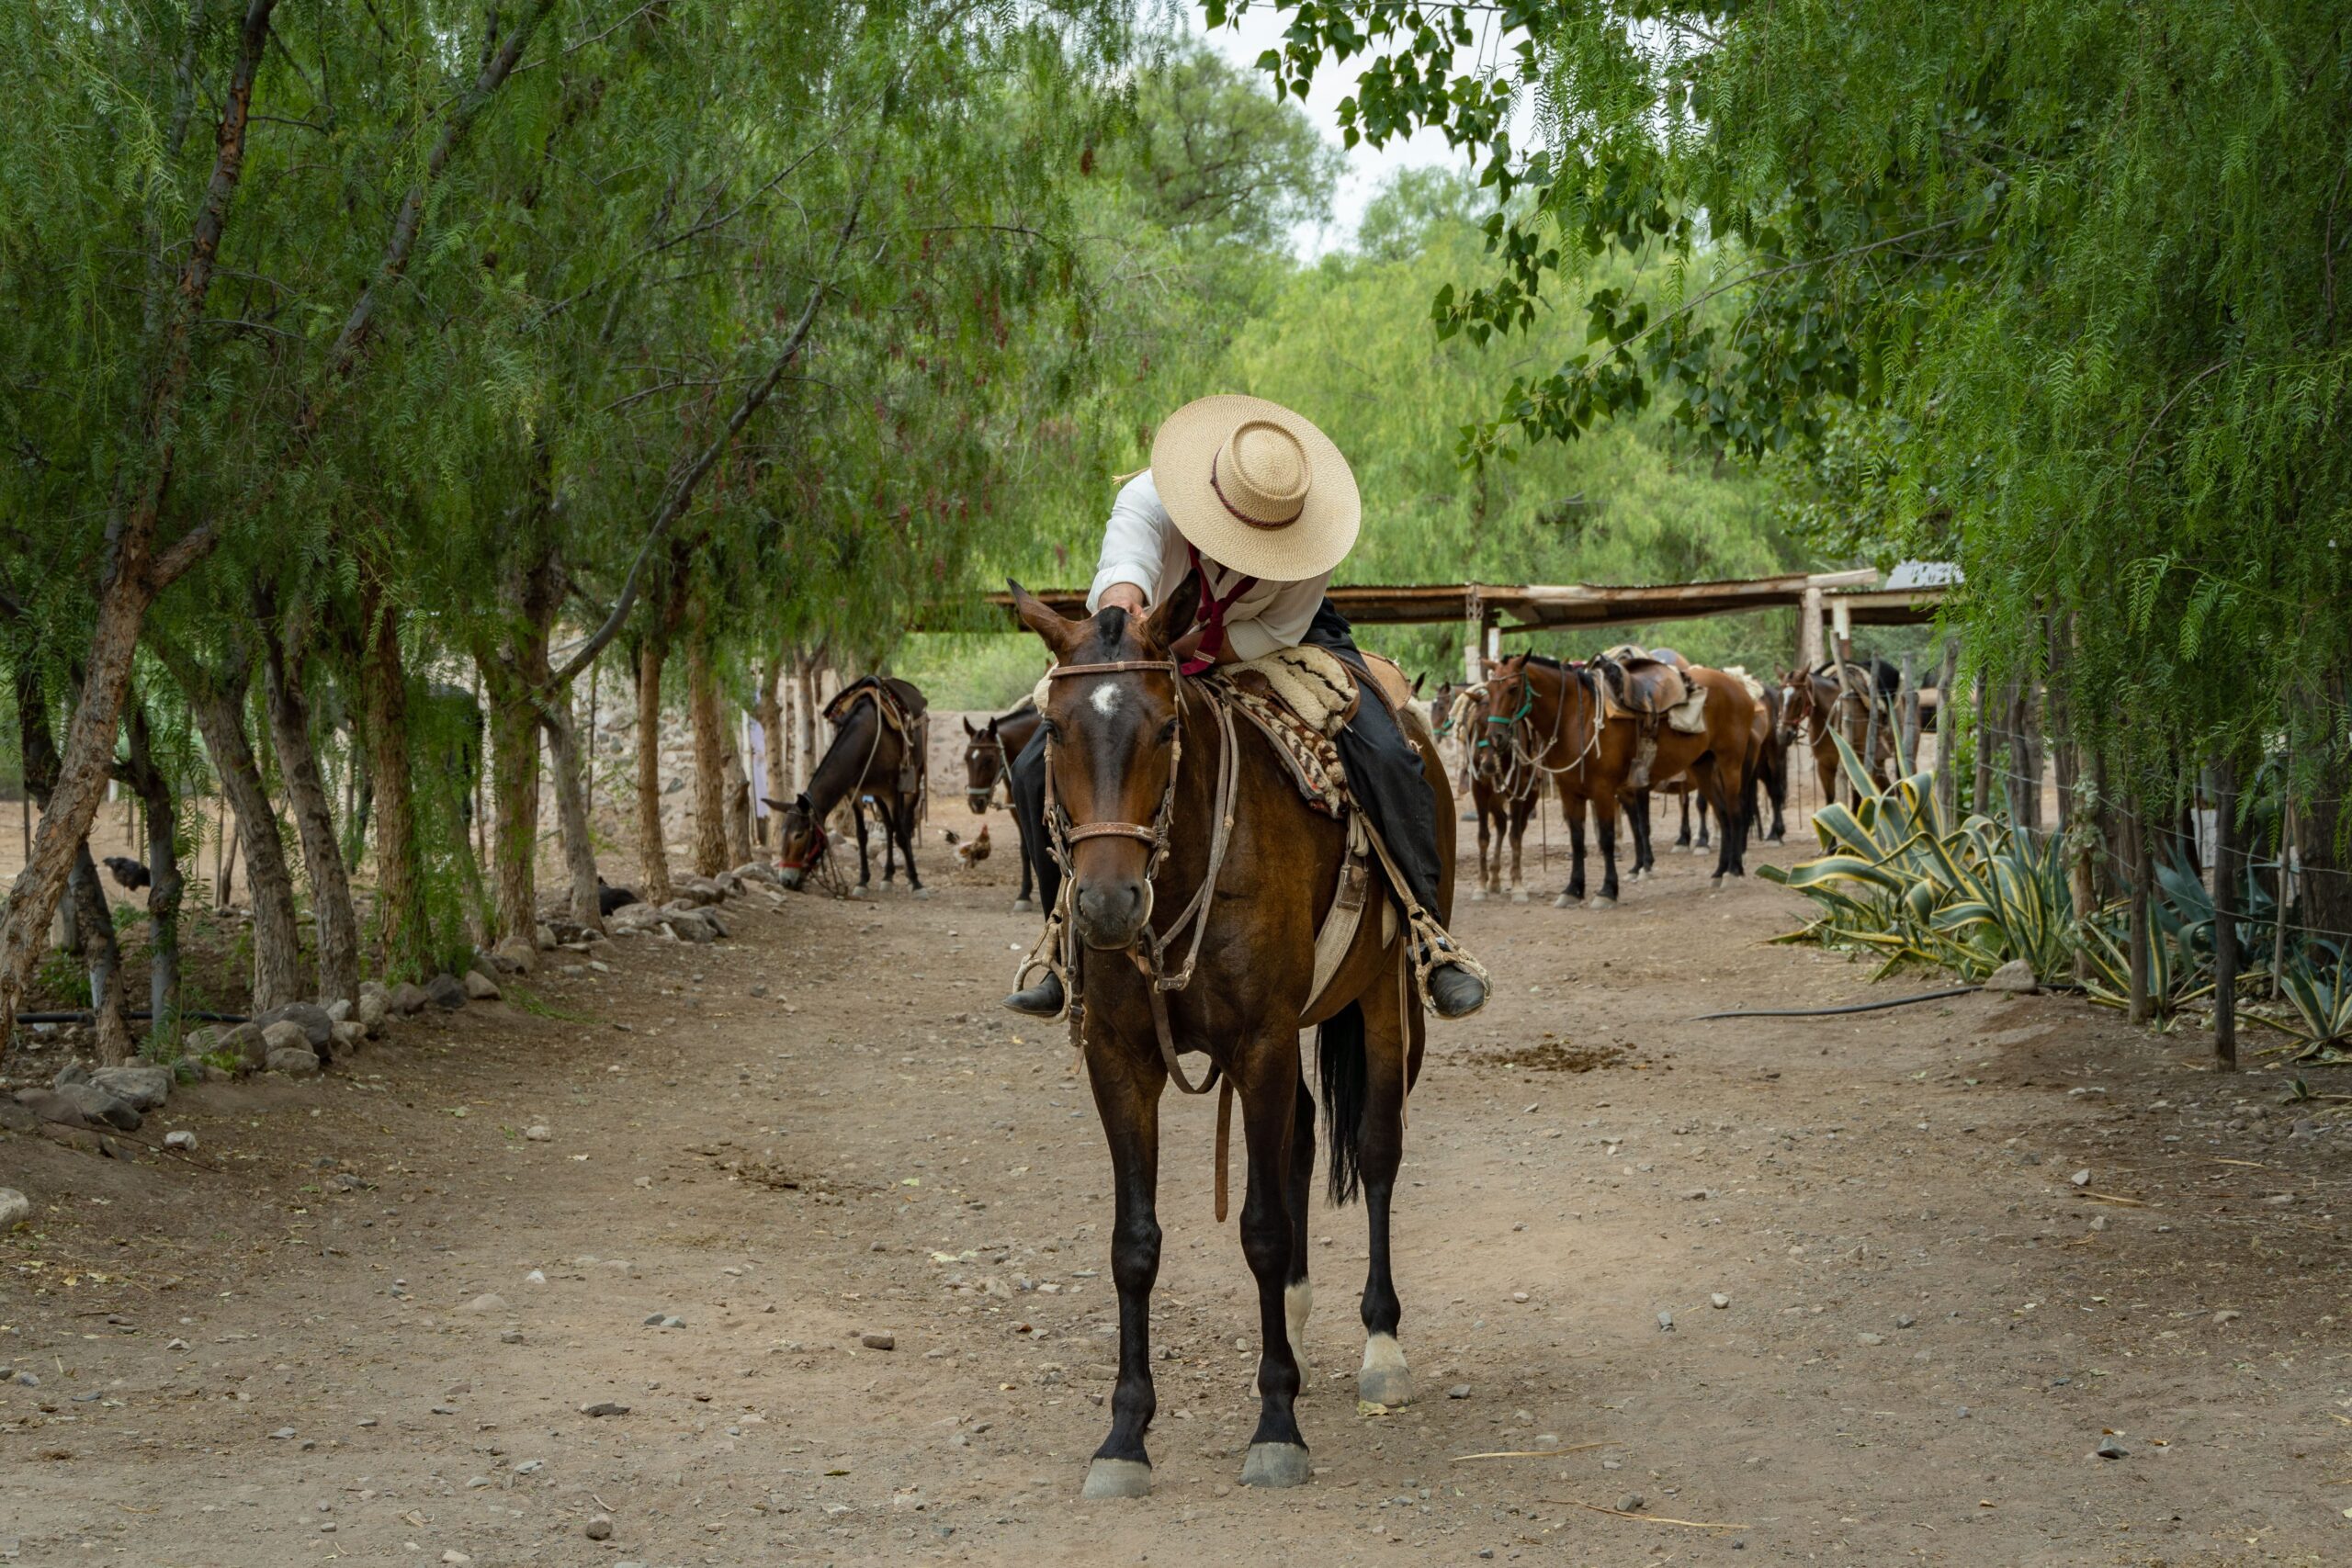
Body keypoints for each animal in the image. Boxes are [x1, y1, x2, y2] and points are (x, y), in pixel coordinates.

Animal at [766, 677, 922, 893]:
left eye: (799, 835)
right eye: (782, 832)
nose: (786, 881)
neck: (867, 739)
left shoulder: (893, 791)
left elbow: (901, 834)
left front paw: (916, 882)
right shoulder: (855, 792)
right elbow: (861, 835)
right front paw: (862, 881)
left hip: (914, 780)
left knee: (903, 826)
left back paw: (908, 875)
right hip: (877, 794)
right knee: (889, 826)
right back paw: (888, 877)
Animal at [959, 705, 1044, 911]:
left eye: (989, 759)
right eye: (966, 758)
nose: (976, 803)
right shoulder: (1018, 813)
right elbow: (1025, 850)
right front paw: (1024, 895)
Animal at [1011, 582, 1448, 1504]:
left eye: (1164, 727)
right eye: (1056, 730)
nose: (1106, 903)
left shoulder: (1261, 1043)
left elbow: (1262, 1228)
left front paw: (1277, 1428)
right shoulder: (1121, 1059)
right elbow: (1134, 1244)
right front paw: (1124, 1438)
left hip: (1386, 1005)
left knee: (1376, 1149)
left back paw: (1381, 1347)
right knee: (1304, 1138)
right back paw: (1296, 1325)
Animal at [1476, 658, 1758, 907]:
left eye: (1513, 688)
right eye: (1489, 689)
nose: (1495, 737)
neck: (1575, 717)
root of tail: (1741, 690)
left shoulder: (1603, 790)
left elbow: (1607, 838)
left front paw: (1607, 891)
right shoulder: (1570, 793)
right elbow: (1577, 839)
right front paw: (1573, 889)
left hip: (1730, 764)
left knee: (1735, 813)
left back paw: (1734, 871)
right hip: (1703, 766)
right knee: (1722, 814)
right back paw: (1720, 871)